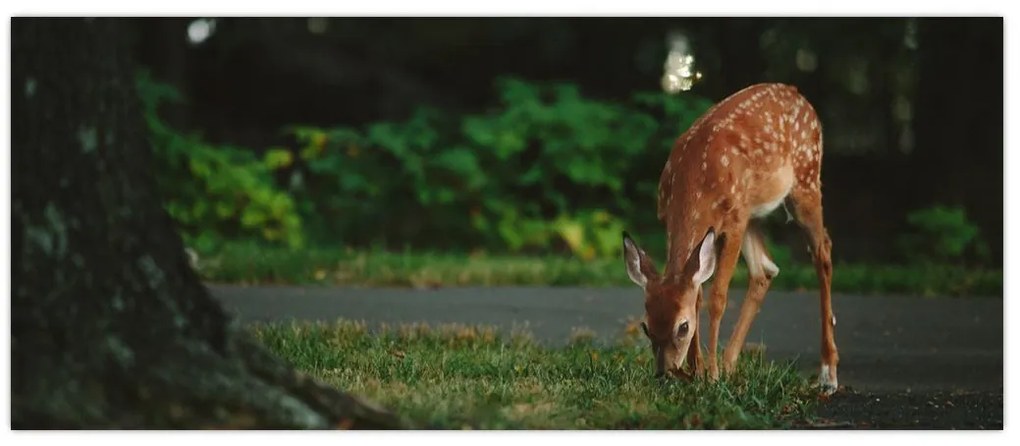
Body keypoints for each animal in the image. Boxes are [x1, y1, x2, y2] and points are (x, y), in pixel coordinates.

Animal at [624, 82, 840, 391]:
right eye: (646, 326)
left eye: (683, 327)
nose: (664, 373)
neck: (695, 181)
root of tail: (797, 93)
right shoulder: (671, 219)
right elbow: (697, 294)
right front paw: (698, 371)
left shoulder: (733, 223)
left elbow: (717, 297)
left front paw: (710, 374)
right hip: (754, 211)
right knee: (765, 270)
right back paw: (730, 364)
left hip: (805, 180)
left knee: (823, 251)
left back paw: (828, 373)